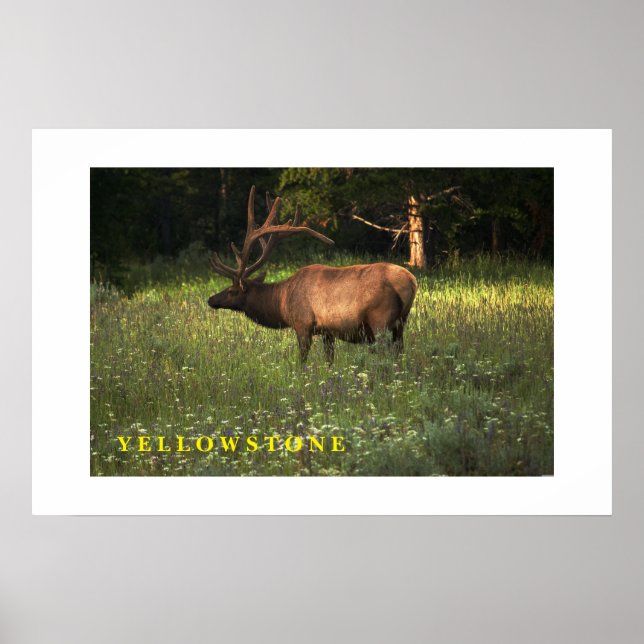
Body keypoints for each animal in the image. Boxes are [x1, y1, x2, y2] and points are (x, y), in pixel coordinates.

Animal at [208, 186, 417, 363]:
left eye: (231, 291)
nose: (210, 299)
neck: (282, 303)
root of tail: (410, 282)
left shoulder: (303, 324)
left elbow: (303, 361)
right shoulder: (327, 332)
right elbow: (329, 360)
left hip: (380, 319)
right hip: (401, 323)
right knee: (400, 353)